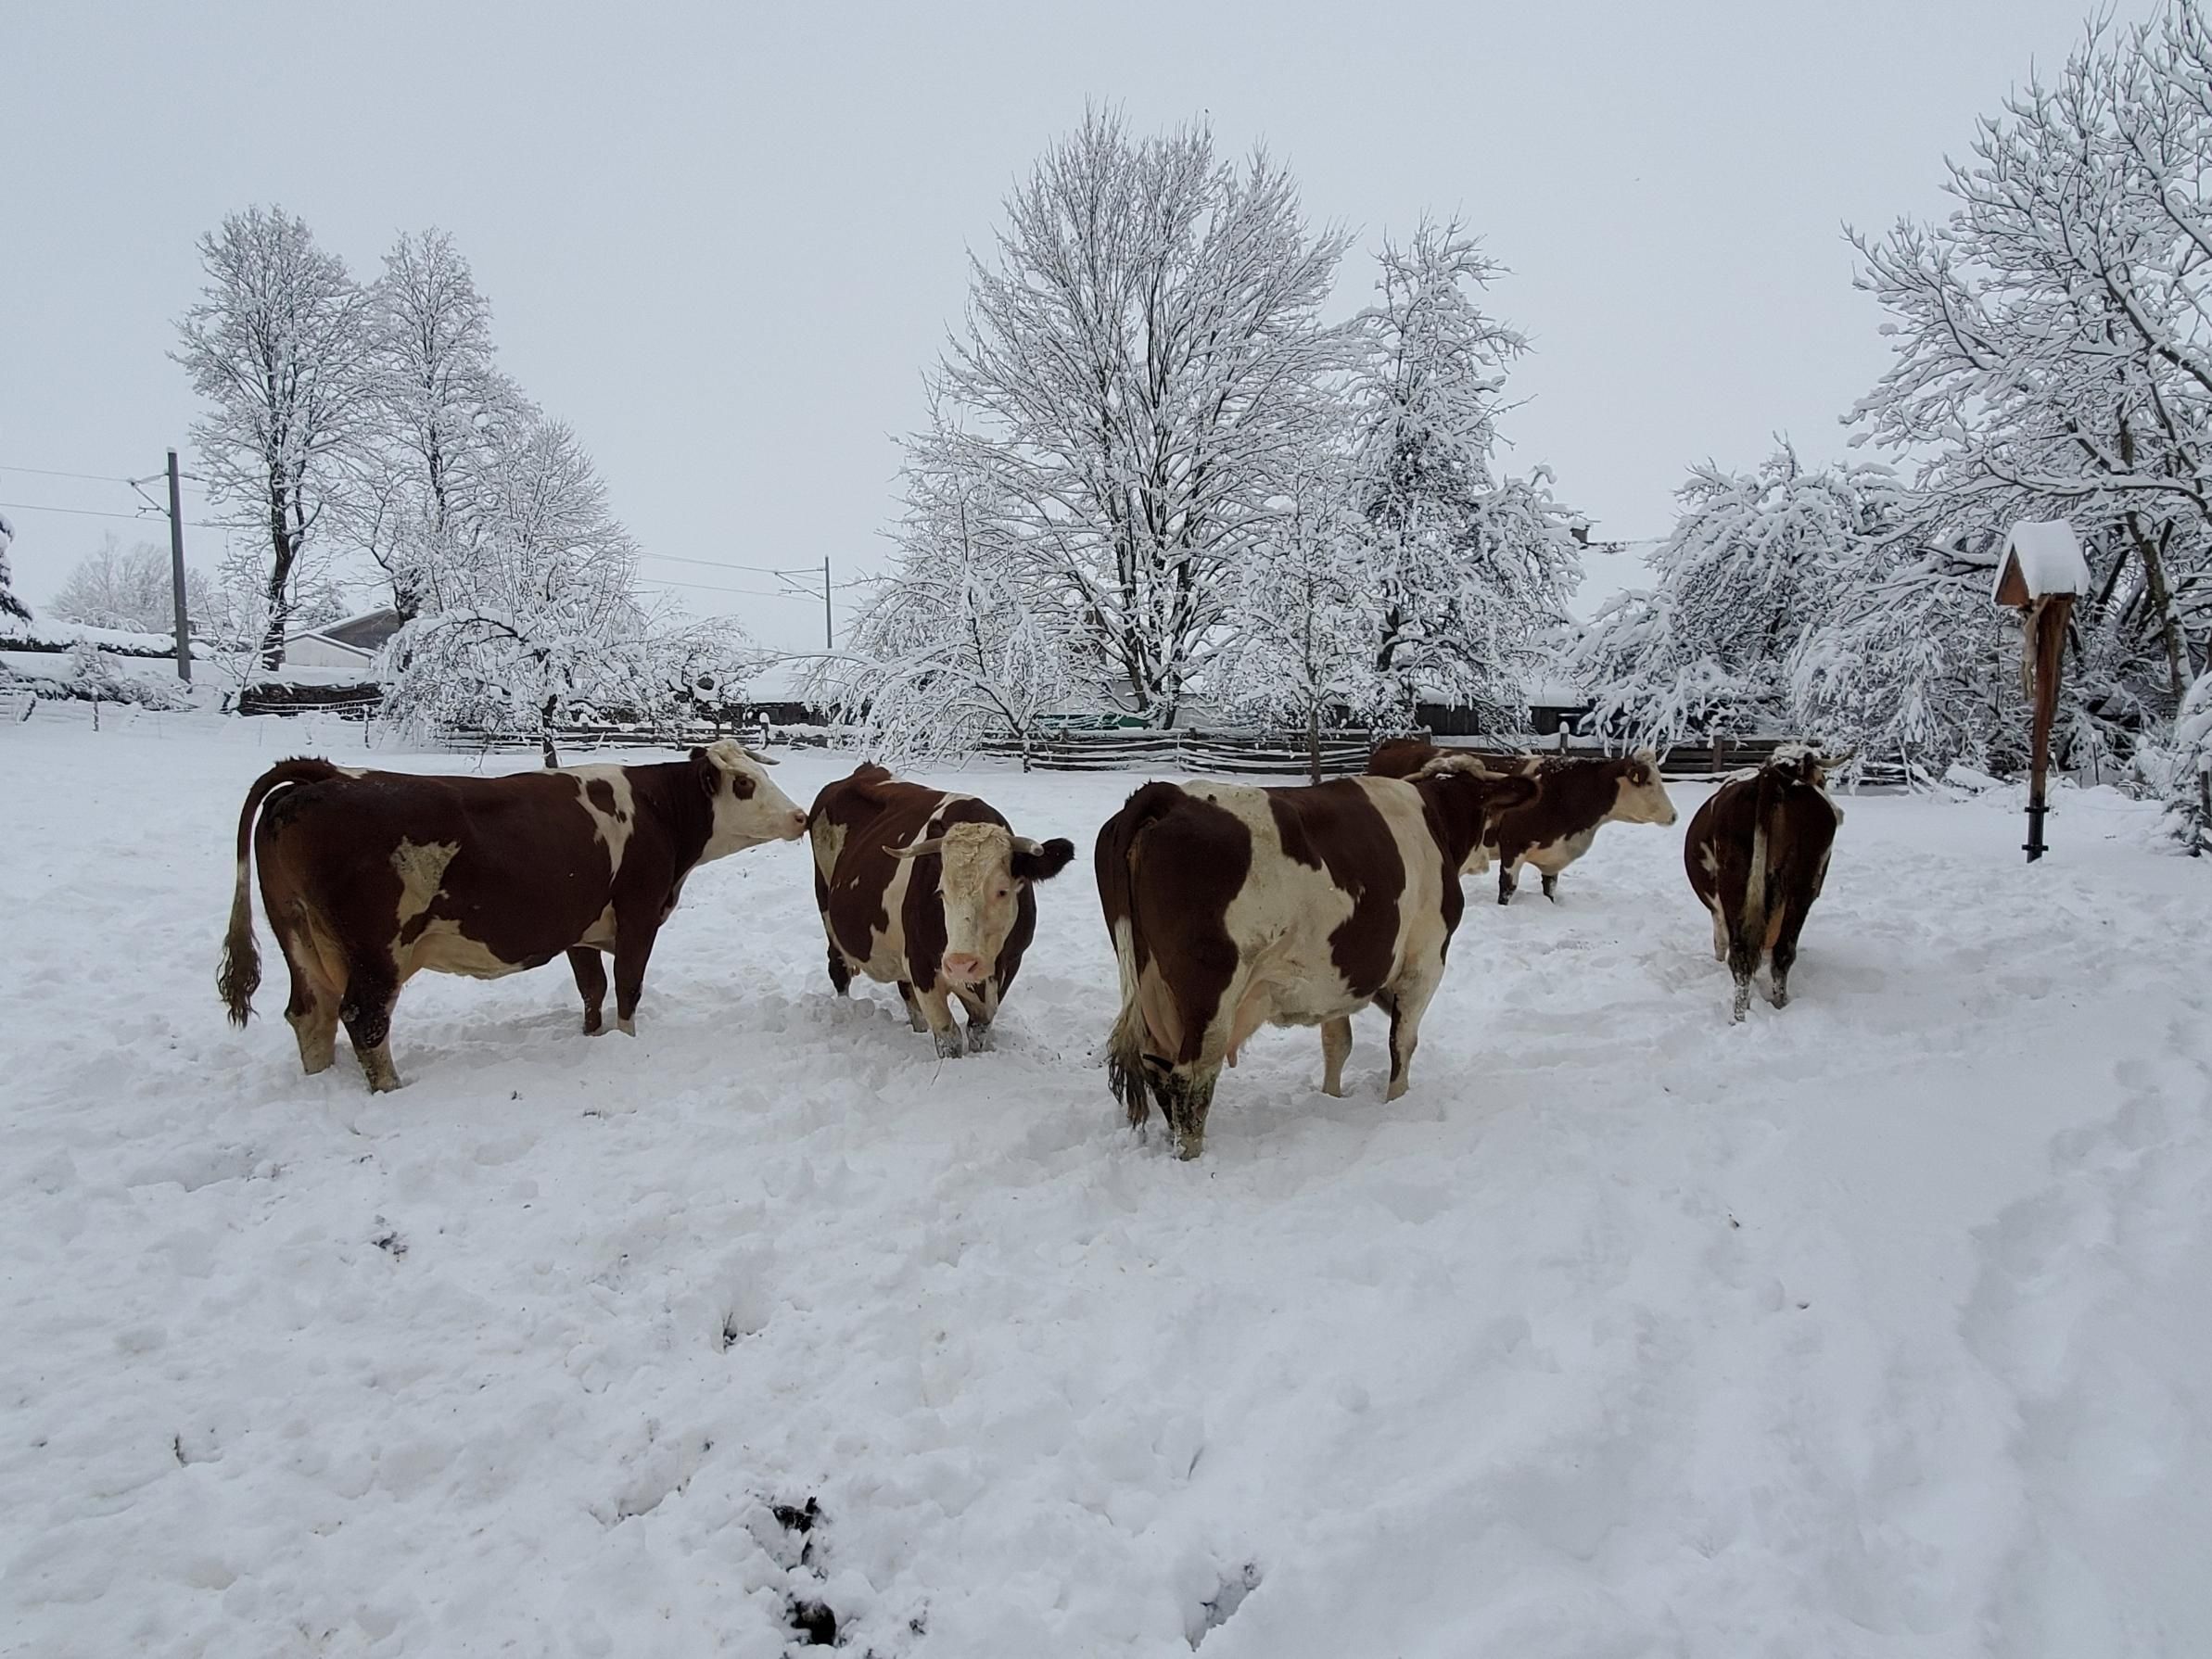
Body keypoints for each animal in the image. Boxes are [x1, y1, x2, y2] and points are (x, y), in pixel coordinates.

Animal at [217, 741, 808, 1090]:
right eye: (746, 784)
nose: (801, 816)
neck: (657, 810)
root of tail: (326, 777)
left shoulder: (581, 929)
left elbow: (591, 990)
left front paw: (592, 1039)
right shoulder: (638, 915)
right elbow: (626, 988)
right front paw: (626, 1043)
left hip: (301, 939)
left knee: (310, 1014)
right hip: (377, 953)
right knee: (364, 1019)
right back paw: (391, 1089)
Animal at [808, 764, 1075, 1057]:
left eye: (1002, 891)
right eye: (941, 891)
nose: (960, 964)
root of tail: (865, 769)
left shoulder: (1009, 964)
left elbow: (978, 1029)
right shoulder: (921, 964)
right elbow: (949, 1037)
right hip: (828, 912)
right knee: (839, 969)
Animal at [1095, 757, 1541, 1159]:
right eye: (1487, 812)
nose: (1490, 853)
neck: (1435, 815)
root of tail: (1167, 794)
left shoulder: (1334, 978)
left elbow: (1337, 1043)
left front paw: (1332, 1098)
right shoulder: (1424, 963)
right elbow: (1402, 1042)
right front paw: (1397, 1101)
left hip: (1153, 991)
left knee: (1157, 1068)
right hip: (1209, 994)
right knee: (1191, 1079)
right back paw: (1190, 1155)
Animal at [1367, 738, 1676, 903]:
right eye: (1648, 781)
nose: (1674, 816)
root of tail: (1401, 742)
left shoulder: (1552, 857)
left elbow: (1550, 889)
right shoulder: (1511, 847)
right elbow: (1507, 889)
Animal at [1683, 744, 1846, 1022]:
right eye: (1822, 780)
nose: (1840, 813)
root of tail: (1772, 777)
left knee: (1749, 954)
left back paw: (1742, 1014)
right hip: (1799, 887)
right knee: (1773, 953)